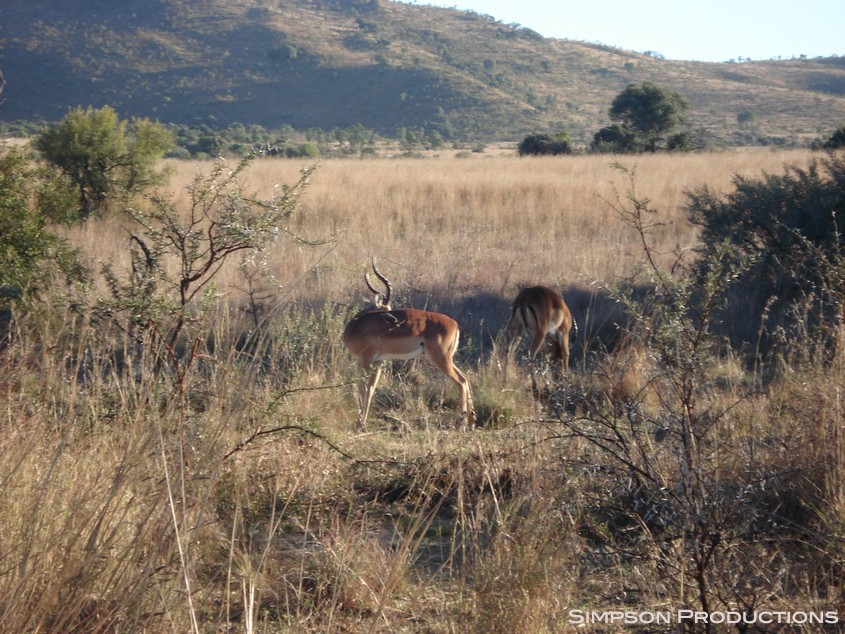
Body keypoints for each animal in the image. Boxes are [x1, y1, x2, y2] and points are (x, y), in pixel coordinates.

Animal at [342, 258, 474, 430]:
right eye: (385, 308)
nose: (395, 321)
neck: (357, 326)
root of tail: (454, 324)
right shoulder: (377, 361)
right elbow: (369, 388)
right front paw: (361, 421)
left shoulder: (368, 359)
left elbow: (364, 387)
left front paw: (360, 423)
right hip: (446, 359)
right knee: (465, 378)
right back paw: (472, 421)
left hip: (440, 358)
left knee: (461, 382)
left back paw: (461, 423)